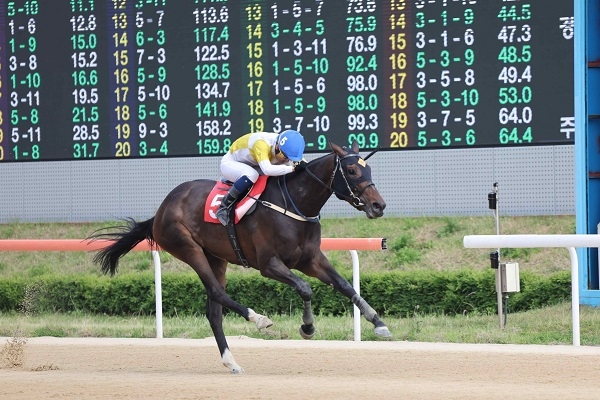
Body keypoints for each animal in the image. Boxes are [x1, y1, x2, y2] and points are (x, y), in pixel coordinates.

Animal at [89, 141, 390, 372]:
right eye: (351, 170)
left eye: (368, 168)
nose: (379, 205)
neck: (294, 204)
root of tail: (161, 209)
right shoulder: (269, 264)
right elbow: (305, 288)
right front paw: (307, 327)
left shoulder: (310, 260)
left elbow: (345, 285)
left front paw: (378, 322)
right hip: (187, 247)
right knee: (217, 293)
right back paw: (258, 319)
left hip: (216, 257)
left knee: (214, 311)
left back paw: (231, 361)